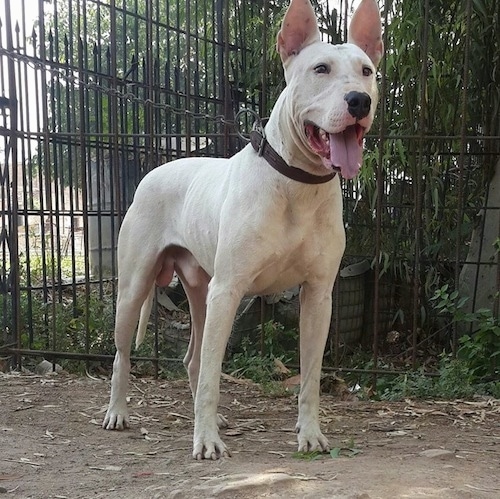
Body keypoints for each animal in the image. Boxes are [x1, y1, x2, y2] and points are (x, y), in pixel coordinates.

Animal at [101, 0, 382, 460]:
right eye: (320, 68)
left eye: (366, 70)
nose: (359, 100)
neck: (298, 184)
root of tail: (153, 171)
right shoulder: (229, 289)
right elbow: (213, 377)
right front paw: (205, 441)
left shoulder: (319, 296)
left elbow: (309, 378)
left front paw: (309, 434)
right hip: (137, 289)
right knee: (125, 354)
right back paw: (118, 412)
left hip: (201, 293)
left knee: (194, 360)